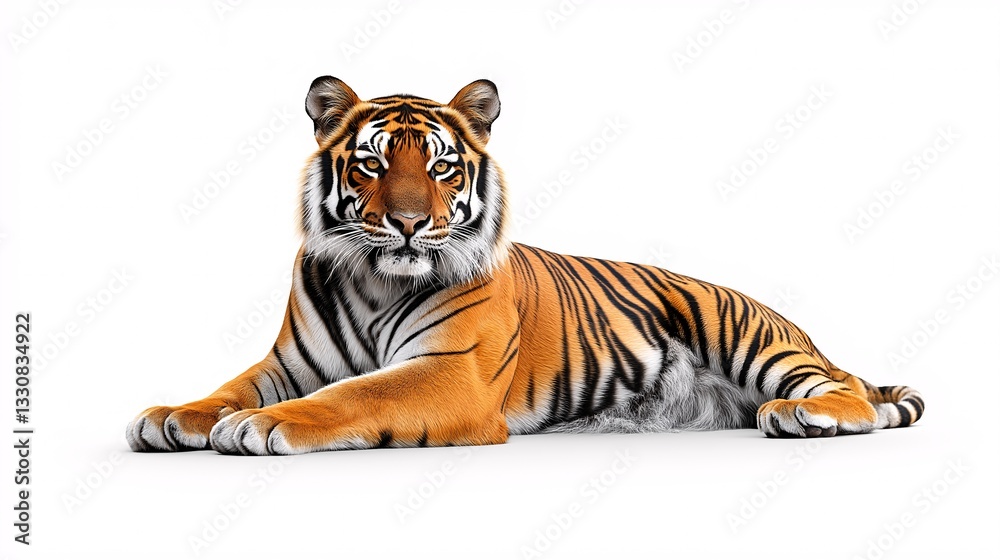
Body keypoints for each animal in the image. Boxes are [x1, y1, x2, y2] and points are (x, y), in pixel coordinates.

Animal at [126, 77, 924, 455]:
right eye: (374, 163)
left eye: (441, 166)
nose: (409, 223)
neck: (375, 278)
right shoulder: (288, 362)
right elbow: (230, 388)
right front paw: (173, 416)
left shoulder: (449, 372)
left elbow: (351, 397)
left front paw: (260, 427)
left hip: (745, 334)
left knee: (846, 392)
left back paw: (802, 415)